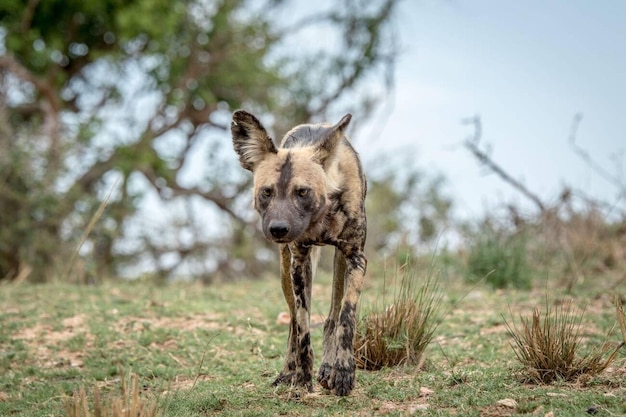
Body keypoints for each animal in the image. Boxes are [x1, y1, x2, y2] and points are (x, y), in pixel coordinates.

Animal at [229, 109, 366, 394]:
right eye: (266, 192)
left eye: (302, 192)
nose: (278, 229)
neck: (321, 217)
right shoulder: (299, 262)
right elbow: (302, 327)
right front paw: (302, 377)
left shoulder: (356, 257)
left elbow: (346, 316)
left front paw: (343, 371)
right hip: (286, 269)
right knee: (293, 321)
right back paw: (288, 371)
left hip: (339, 262)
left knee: (333, 316)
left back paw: (328, 366)